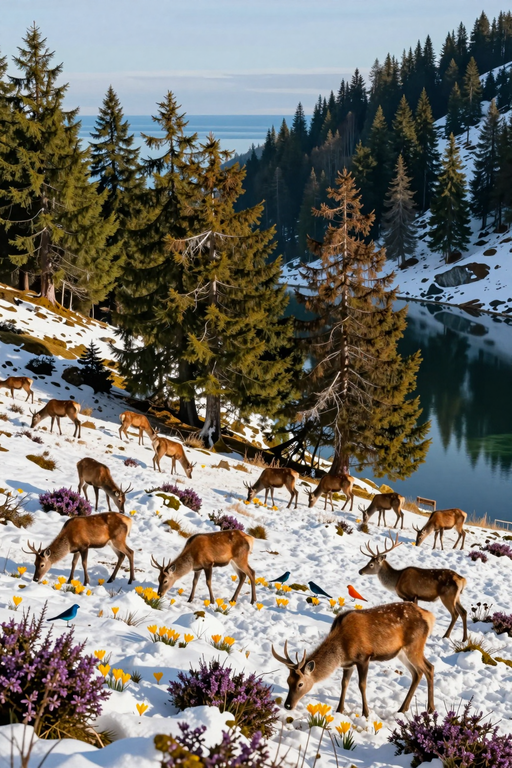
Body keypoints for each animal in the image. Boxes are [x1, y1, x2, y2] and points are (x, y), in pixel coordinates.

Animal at [272, 602, 435, 718]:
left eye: (300, 684)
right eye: (288, 681)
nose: (287, 705)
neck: (342, 650)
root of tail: (429, 616)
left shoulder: (363, 657)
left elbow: (362, 685)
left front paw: (366, 713)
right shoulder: (347, 664)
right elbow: (344, 683)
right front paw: (339, 710)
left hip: (414, 646)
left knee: (429, 668)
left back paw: (430, 708)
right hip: (402, 652)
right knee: (417, 673)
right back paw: (403, 708)